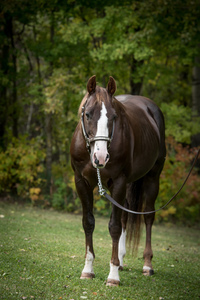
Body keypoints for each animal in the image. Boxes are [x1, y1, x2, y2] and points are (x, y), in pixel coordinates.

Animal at [70, 75, 166, 286]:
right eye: (87, 114)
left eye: (114, 117)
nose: (101, 157)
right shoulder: (81, 182)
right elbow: (88, 223)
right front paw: (88, 270)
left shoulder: (119, 182)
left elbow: (113, 227)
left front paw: (113, 276)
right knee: (125, 216)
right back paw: (121, 261)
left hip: (152, 178)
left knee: (147, 217)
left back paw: (147, 265)